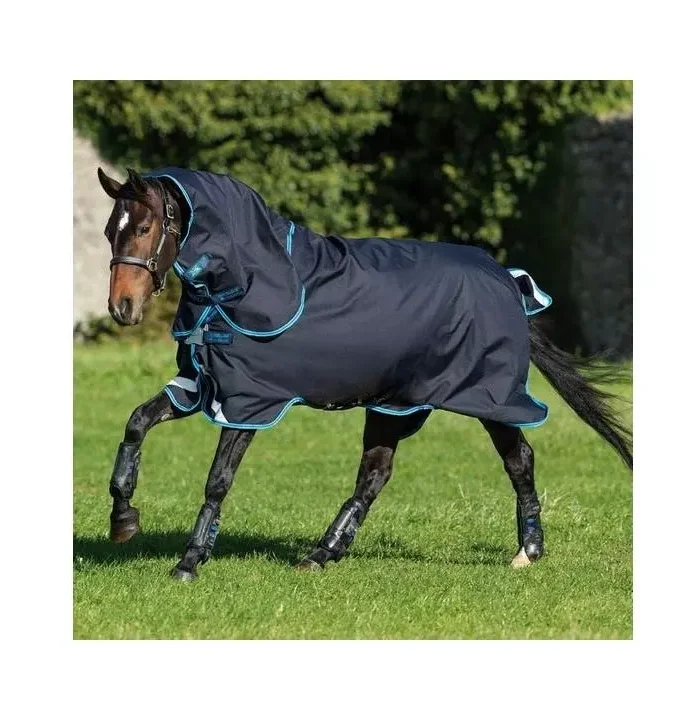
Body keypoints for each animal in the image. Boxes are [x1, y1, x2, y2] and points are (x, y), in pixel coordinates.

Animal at [97, 166, 632, 581]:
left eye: (143, 228)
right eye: (109, 231)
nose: (123, 308)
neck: (244, 283)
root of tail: (508, 280)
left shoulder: (249, 403)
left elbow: (217, 480)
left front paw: (189, 562)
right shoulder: (200, 387)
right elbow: (136, 423)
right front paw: (124, 521)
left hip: (486, 397)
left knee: (519, 459)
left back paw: (528, 551)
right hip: (395, 404)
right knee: (375, 474)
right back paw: (321, 554)